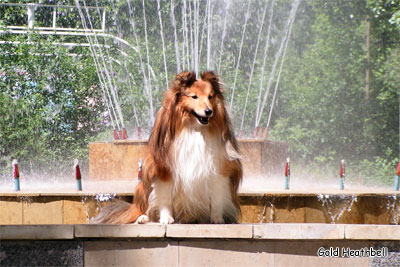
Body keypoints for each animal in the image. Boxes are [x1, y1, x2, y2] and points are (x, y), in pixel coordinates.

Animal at [92, 70, 242, 224]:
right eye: (194, 97)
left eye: (210, 96)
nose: (208, 111)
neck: (194, 128)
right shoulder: (163, 168)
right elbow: (164, 198)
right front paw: (166, 218)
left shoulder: (219, 169)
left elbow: (217, 198)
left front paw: (217, 219)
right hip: (143, 185)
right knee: (145, 206)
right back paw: (143, 217)